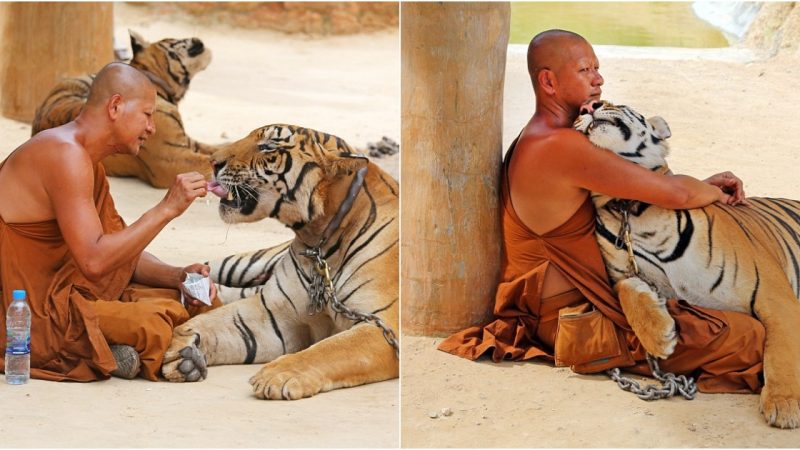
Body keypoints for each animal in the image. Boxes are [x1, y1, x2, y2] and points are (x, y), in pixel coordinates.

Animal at [31, 29, 216, 188]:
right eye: (175, 38)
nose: (199, 40)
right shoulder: (172, 158)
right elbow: (208, 162)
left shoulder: (187, 142)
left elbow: (218, 148)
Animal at [159, 121, 400, 400]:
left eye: (267, 147)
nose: (212, 162)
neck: (319, 240)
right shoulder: (274, 311)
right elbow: (218, 322)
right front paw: (181, 348)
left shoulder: (383, 325)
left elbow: (332, 349)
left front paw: (278, 375)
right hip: (245, 262)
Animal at [572, 100, 800, 430]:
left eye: (617, 103)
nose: (590, 105)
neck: (629, 207)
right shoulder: (623, 273)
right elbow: (628, 293)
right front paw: (660, 338)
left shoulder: (773, 293)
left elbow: (782, 349)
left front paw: (784, 406)